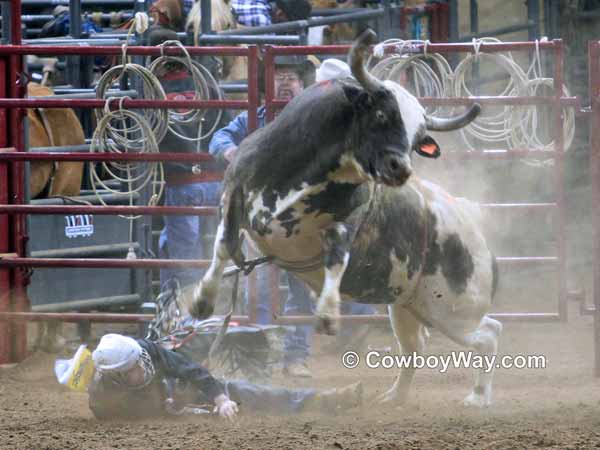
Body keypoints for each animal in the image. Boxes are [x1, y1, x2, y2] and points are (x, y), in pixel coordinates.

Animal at [190, 29, 500, 408]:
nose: (401, 169)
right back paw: (395, 397)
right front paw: (203, 299)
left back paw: (478, 397)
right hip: (411, 306)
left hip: (454, 310)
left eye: (416, 139)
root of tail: (478, 238)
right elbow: (223, 246)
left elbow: (336, 260)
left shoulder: (347, 223)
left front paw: (327, 312)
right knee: (417, 346)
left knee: (488, 335)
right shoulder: (232, 193)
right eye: (381, 114)